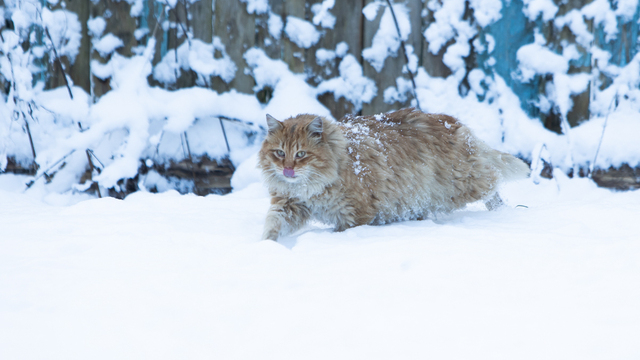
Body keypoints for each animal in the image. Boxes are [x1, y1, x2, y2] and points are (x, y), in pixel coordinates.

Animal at [258, 107, 528, 242]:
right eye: (280, 153)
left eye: (301, 154)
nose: (288, 170)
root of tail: (453, 123)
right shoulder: (289, 205)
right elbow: (273, 225)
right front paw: (266, 247)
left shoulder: (354, 215)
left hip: (462, 183)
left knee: (492, 181)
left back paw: (503, 212)